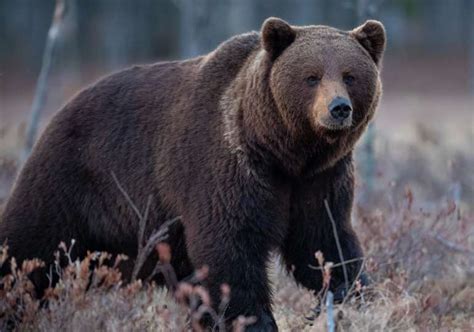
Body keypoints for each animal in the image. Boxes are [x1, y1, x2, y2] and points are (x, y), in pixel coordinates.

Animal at [0, 17, 386, 330]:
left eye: (350, 75)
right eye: (311, 77)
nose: (338, 108)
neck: (284, 152)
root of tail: (59, 113)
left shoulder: (319, 179)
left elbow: (323, 242)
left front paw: (357, 296)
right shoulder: (224, 167)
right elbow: (229, 247)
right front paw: (254, 320)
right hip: (69, 181)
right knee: (29, 251)